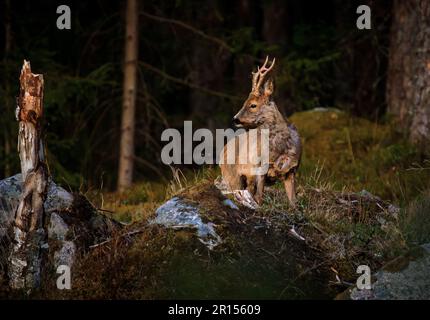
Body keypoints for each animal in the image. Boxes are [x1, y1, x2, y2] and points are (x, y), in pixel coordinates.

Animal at [220, 56, 300, 206]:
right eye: (244, 102)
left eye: (253, 105)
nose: (235, 119)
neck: (279, 151)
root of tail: (222, 151)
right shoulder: (259, 169)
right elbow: (260, 198)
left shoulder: (292, 170)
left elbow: (294, 203)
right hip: (232, 176)